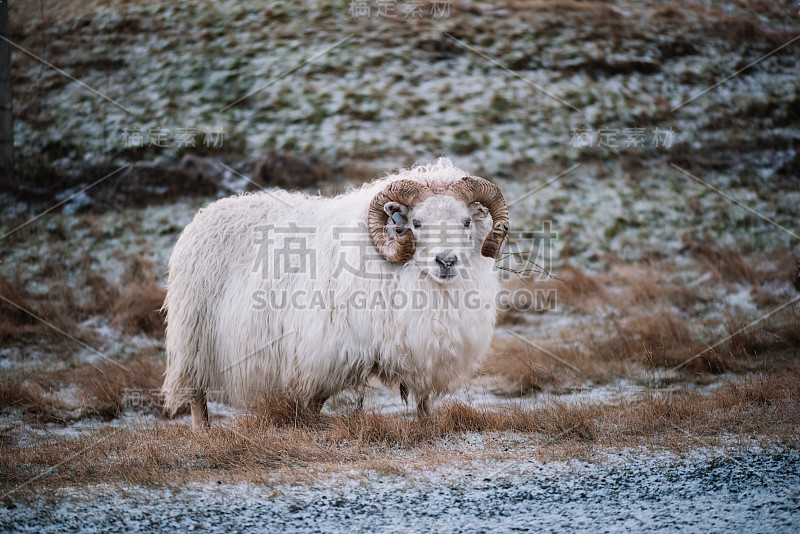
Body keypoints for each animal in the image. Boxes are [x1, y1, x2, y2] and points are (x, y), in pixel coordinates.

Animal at [162, 157, 510, 430]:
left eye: (466, 222)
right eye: (417, 223)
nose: (447, 261)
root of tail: (206, 213)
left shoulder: (422, 348)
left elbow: (423, 400)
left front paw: (428, 425)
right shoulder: (328, 348)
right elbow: (316, 399)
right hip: (193, 337)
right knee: (196, 396)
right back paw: (203, 433)